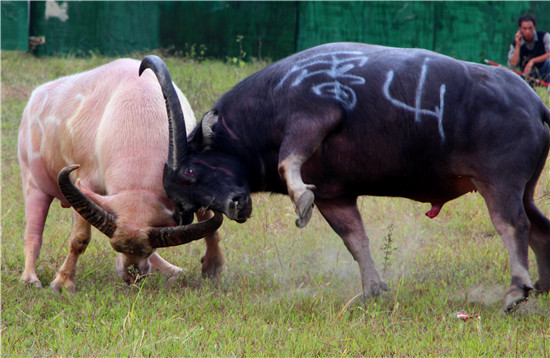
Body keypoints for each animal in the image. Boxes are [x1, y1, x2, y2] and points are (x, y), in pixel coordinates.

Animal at [141, 41, 550, 310]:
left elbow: (288, 159)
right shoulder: (335, 196)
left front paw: (300, 200)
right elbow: (356, 239)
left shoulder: (311, 118)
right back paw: (542, 285)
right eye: (185, 204)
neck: (267, 105)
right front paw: (372, 290)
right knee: (539, 228)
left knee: (512, 225)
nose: (236, 206)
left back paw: (517, 290)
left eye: (190, 171)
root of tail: (533, 103)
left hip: (499, 183)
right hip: (525, 189)